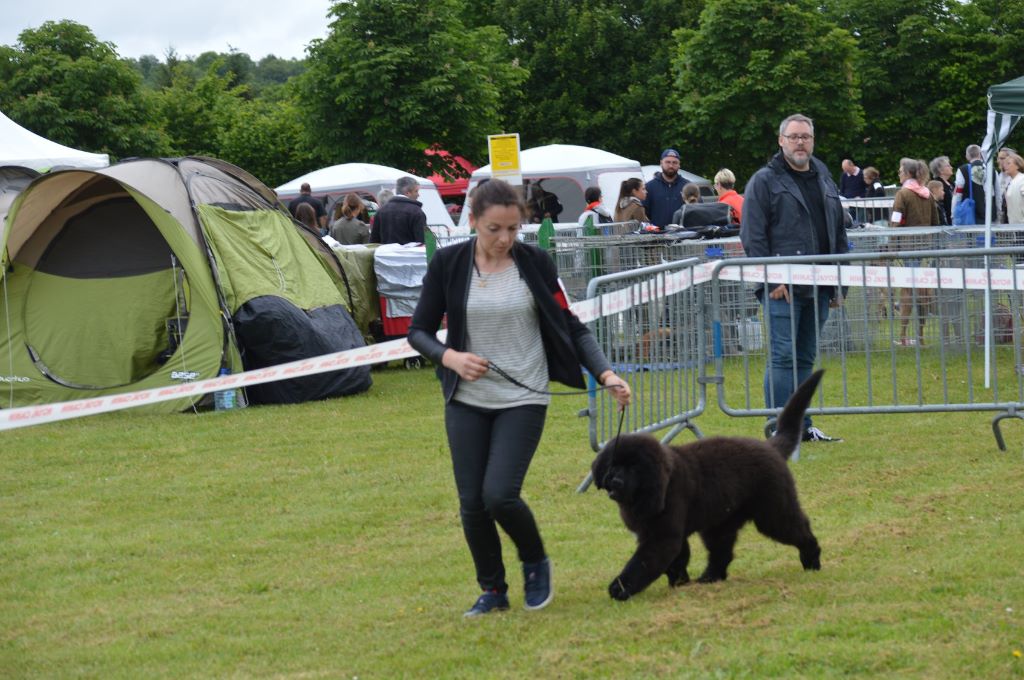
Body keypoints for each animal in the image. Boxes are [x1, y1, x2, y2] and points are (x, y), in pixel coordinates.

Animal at [593, 372, 823, 602]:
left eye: (633, 468)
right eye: (614, 465)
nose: (616, 481)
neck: (652, 490)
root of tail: (770, 446)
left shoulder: (662, 535)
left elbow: (643, 563)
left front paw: (619, 588)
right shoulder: (661, 532)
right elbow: (677, 560)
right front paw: (680, 583)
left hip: (773, 512)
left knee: (799, 530)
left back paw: (812, 561)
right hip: (721, 521)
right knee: (722, 552)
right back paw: (709, 577)